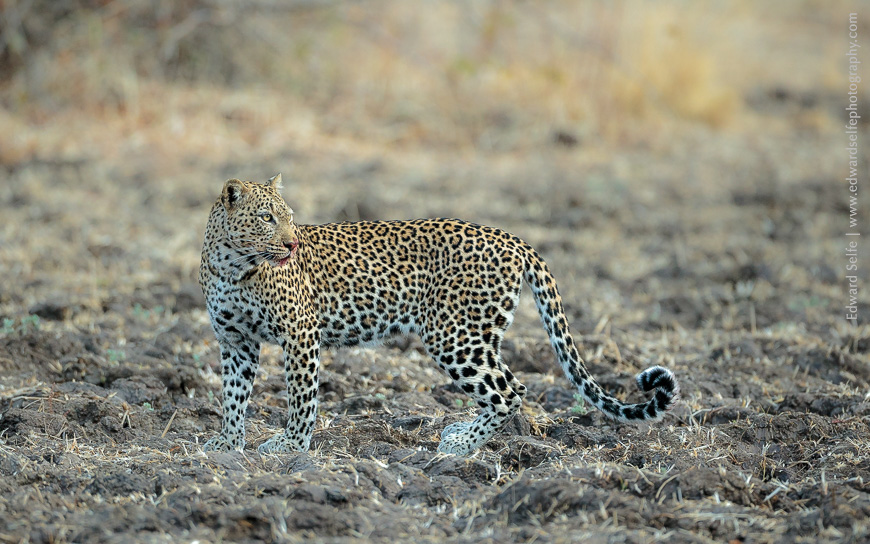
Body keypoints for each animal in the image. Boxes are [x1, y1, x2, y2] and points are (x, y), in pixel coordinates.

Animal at [199, 174, 680, 456]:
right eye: (266, 217)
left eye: (289, 217)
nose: (293, 243)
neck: (233, 266)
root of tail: (512, 238)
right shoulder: (236, 342)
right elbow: (233, 395)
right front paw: (227, 442)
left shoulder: (300, 334)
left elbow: (301, 397)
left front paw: (290, 446)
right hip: (477, 334)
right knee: (514, 384)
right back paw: (464, 434)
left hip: (453, 334)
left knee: (508, 390)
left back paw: (461, 445)